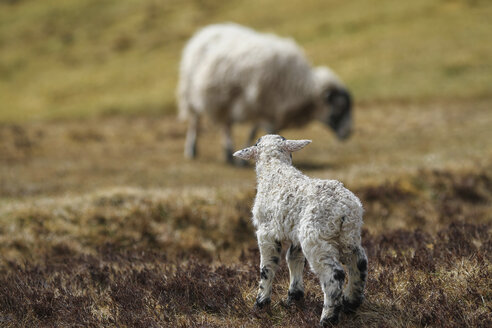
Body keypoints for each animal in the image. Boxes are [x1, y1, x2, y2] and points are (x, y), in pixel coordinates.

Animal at [175, 22, 352, 163]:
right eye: (339, 107)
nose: (348, 133)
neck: (301, 86)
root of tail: (203, 32)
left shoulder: (264, 109)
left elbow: (254, 130)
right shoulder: (263, 105)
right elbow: (263, 131)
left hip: (224, 99)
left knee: (226, 124)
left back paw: (227, 153)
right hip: (192, 93)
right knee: (195, 121)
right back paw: (192, 149)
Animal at [233, 135, 368, 326]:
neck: (274, 170)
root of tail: (344, 210)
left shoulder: (266, 232)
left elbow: (267, 267)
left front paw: (261, 303)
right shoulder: (295, 232)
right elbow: (294, 259)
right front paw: (294, 297)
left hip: (317, 238)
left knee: (334, 275)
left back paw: (328, 318)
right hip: (348, 236)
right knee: (359, 262)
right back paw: (351, 302)